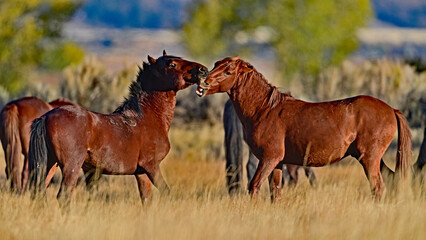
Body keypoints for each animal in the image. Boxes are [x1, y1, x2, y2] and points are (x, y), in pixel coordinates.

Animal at [27, 51, 208, 205]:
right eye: (172, 64)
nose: (203, 70)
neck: (147, 117)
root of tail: (45, 117)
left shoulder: (141, 173)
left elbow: (146, 200)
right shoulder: (152, 167)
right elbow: (166, 192)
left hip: (50, 165)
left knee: (39, 192)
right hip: (71, 166)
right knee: (63, 196)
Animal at [198, 56, 412, 201]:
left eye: (229, 71)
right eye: (216, 64)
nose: (203, 83)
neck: (265, 110)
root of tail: (391, 109)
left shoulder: (269, 159)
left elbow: (254, 186)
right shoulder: (277, 163)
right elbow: (275, 192)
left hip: (369, 159)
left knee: (378, 187)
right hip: (371, 159)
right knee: (390, 179)